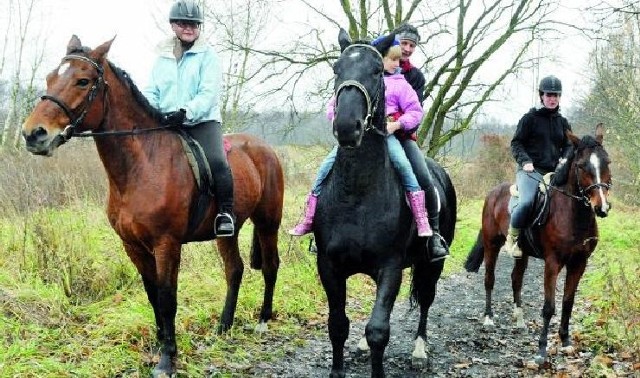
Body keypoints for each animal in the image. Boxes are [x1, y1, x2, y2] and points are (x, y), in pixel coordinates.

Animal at [21, 34, 284, 376]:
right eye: (50, 77)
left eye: (83, 81)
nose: (33, 134)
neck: (142, 166)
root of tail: (264, 148)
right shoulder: (133, 245)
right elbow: (152, 295)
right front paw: (158, 345)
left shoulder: (166, 244)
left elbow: (167, 297)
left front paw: (168, 359)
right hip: (228, 231)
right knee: (234, 269)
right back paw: (224, 326)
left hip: (268, 222)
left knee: (270, 265)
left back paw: (263, 320)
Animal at [314, 29, 456, 378]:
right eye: (336, 68)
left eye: (377, 71)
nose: (347, 126)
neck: (357, 194)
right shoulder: (329, 265)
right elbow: (338, 324)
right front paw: (338, 370)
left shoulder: (390, 267)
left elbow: (379, 329)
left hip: (431, 264)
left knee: (426, 301)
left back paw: (419, 352)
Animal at [464, 125, 608, 364]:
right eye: (581, 165)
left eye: (607, 162)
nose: (602, 207)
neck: (571, 214)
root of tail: (493, 193)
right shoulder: (552, 263)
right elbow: (549, 307)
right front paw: (541, 351)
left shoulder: (579, 263)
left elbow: (568, 302)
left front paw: (566, 342)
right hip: (491, 245)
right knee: (489, 279)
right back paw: (489, 319)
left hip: (522, 254)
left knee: (516, 280)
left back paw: (520, 320)